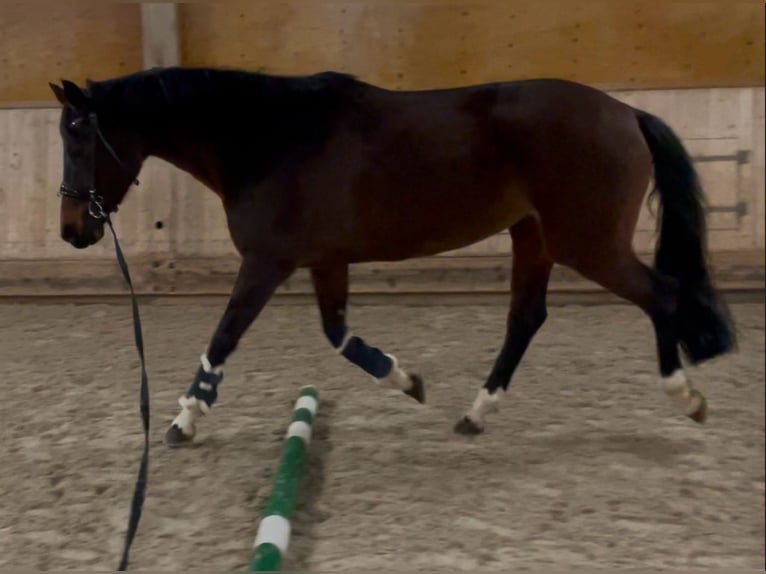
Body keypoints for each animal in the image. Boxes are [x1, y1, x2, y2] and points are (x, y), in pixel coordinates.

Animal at [49, 68, 736, 446]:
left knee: (662, 296)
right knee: (527, 318)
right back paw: (474, 414)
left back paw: (686, 397)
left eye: (80, 137)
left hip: (586, 244)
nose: (71, 231)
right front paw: (406, 380)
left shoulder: (266, 262)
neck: (269, 137)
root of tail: (627, 113)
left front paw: (185, 421)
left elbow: (223, 338)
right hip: (534, 237)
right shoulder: (324, 260)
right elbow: (339, 336)